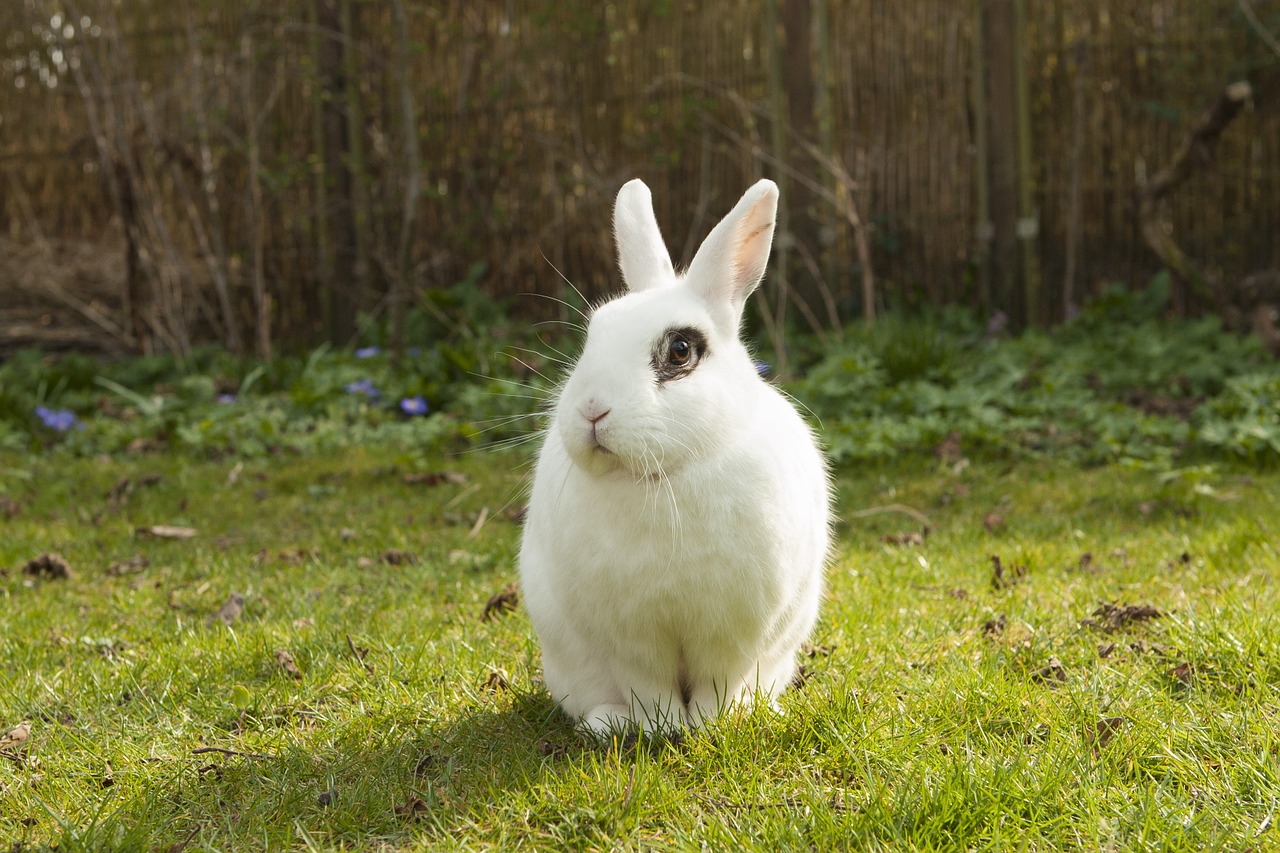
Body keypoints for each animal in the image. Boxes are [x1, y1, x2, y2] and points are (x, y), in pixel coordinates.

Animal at [519, 178, 829, 732]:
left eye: (680, 350)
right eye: (593, 335)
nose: (592, 408)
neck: (663, 476)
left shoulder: (731, 633)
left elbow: (717, 682)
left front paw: (710, 726)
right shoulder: (630, 639)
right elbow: (648, 687)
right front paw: (661, 728)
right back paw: (606, 723)